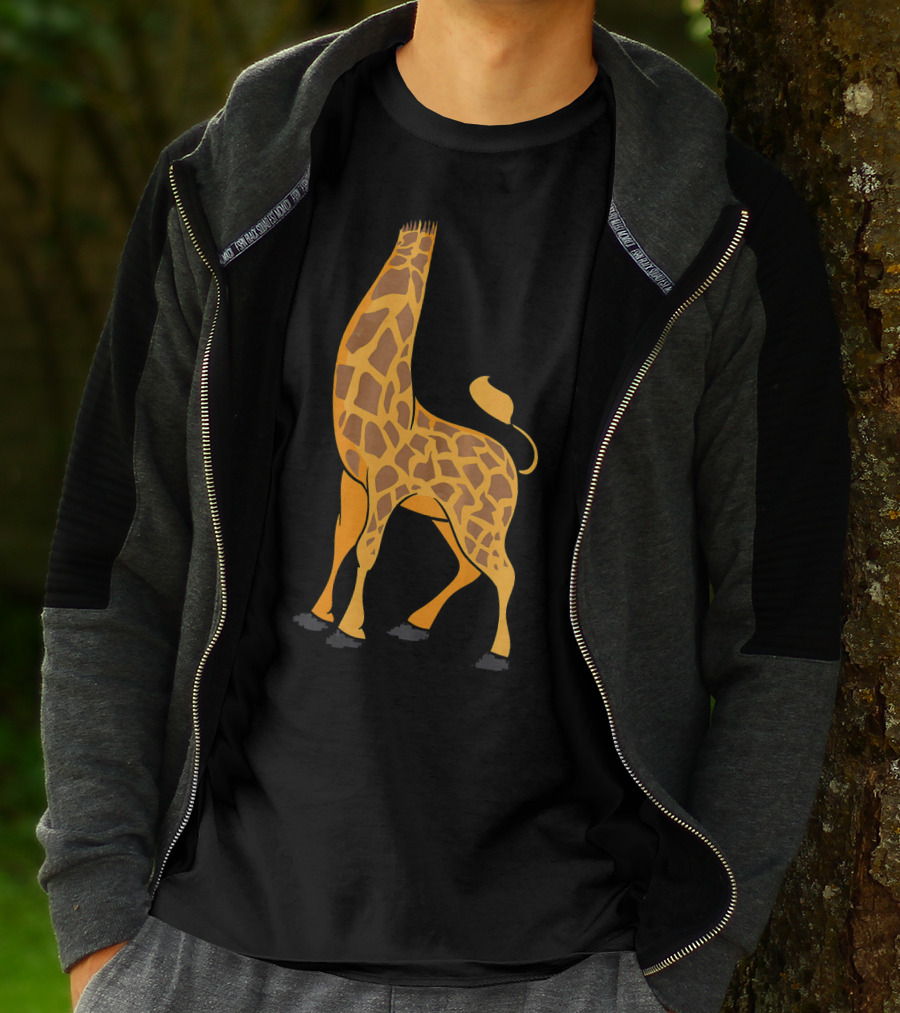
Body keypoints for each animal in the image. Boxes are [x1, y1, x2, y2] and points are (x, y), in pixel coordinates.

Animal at [304, 220, 537, 666]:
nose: (413, 235)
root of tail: (514, 466)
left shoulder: (386, 485)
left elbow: (367, 549)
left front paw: (348, 628)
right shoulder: (352, 477)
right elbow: (342, 538)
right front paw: (317, 614)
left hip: (482, 524)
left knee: (505, 572)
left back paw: (497, 653)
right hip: (446, 518)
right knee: (470, 568)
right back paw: (414, 624)